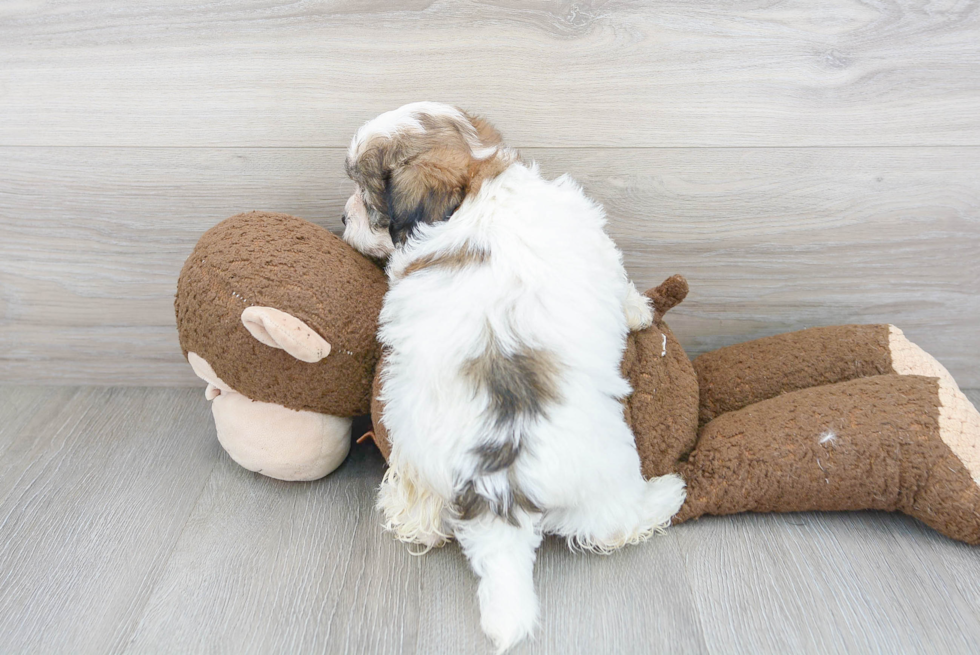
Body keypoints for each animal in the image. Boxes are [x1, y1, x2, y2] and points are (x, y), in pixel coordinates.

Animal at [340, 102, 684, 652]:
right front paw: (640, 312)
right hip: (608, 465)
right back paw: (664, 496)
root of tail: (495, 486)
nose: (342, 217)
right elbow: (621, 281)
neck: (479, 186)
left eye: (368, 198)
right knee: (613, 524)